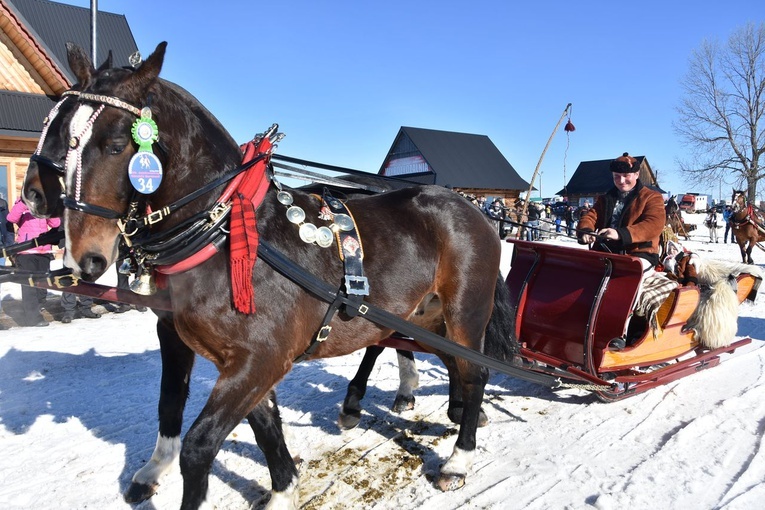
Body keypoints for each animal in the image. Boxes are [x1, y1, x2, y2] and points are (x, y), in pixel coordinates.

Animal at [20, 41, 516, 508]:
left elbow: (199, 447)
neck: (223, 234)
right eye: (62, 132)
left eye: (117, 145)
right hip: (423, 314)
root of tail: (471, 207)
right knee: (440, 359)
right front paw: (281, 489)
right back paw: (442, 410)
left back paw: (458, 457)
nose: (82, 255)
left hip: (464, 312)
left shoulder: (260, 358)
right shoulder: (234, 357)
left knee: (474, 371)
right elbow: (249, 422)